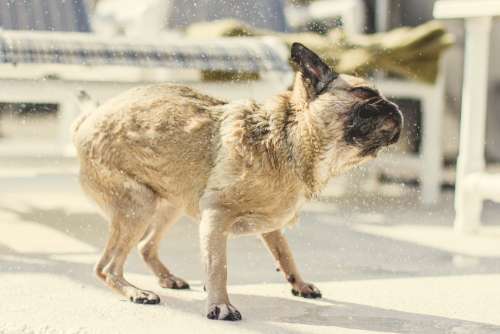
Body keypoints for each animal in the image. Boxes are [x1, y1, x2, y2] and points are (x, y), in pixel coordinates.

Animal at [73, 42, 402, 320]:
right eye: (366, 96)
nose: (395, 107)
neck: (289, 138)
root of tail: (86, 121)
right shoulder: (216, 218)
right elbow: (218, 267)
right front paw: (220, 305)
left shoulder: (270, 227)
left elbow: (285, 253)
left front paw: (299, 283)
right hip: (139, 206)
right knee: (106, 267)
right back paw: (135, 291)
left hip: (169, 204)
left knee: (145, 246)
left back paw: (166, 278)